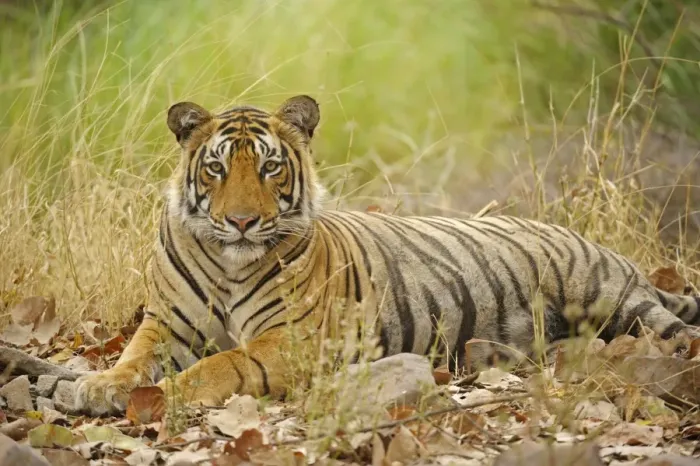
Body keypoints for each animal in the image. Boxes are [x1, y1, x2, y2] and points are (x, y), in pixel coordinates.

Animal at [74, 95, 700, 415]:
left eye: (270, 167)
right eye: (217, 168)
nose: (242, 221)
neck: (230, 261)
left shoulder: (291, 339)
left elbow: (221, 364)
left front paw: (165, 395)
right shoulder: (167, 322)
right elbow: (134, 355)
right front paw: (101, 385)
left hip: (615, 300)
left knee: (676, 333)